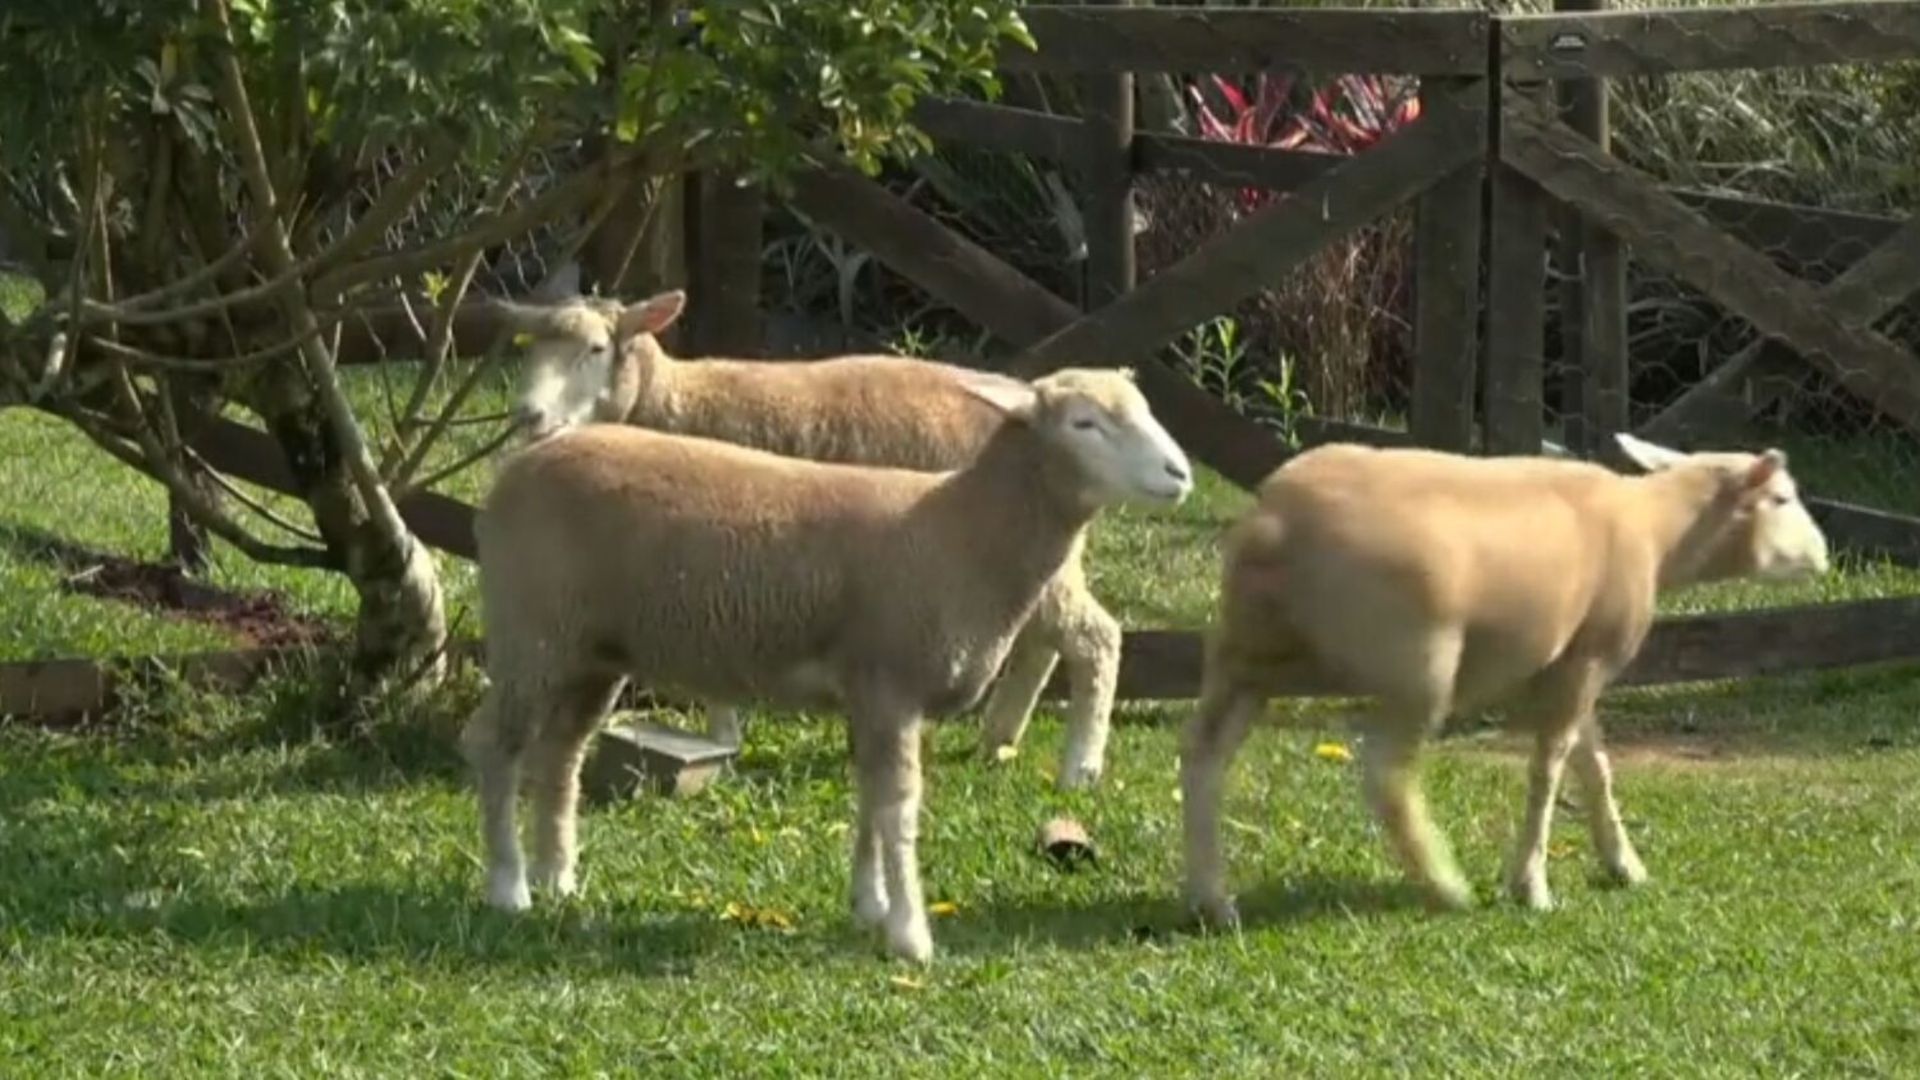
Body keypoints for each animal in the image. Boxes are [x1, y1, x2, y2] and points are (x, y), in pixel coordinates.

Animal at [458, 363, 1190, 957]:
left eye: (1145, 408)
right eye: (1085, 423)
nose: (1180, 474)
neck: (962, 532)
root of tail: (514, 472)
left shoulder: (875, 695)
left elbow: (868, 799)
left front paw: (869, 905)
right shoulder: (891, 682)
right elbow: (898, 807)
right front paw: (910, 935)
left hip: (593, 652)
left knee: (561, 752)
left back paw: (557, 877)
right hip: (532, 631)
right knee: (495, 743)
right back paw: (509, 887)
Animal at [495, 288, 1128, 791]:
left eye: (596, 350)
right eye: (527, 348)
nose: (528, 415)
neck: (672, 399)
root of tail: (1030, 392)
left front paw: (723, 736)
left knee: (1094, 638)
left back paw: (1079, 768)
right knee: (1044, 642)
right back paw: (999, 738)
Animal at [1182, 432, 1827, 922]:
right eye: (1783, 498)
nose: (1824, 555)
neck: (1657, 528)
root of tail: (1276, 524)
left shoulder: (1569, 667)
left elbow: (1595, 767)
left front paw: (1623, 864)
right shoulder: (1587, 661)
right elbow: (1548, 771)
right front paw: (1532, 885)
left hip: (1246, 654)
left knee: (1202, 757)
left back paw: (1211, 898)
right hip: (1417, 662)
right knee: (1386, 778)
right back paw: (1444, 885)